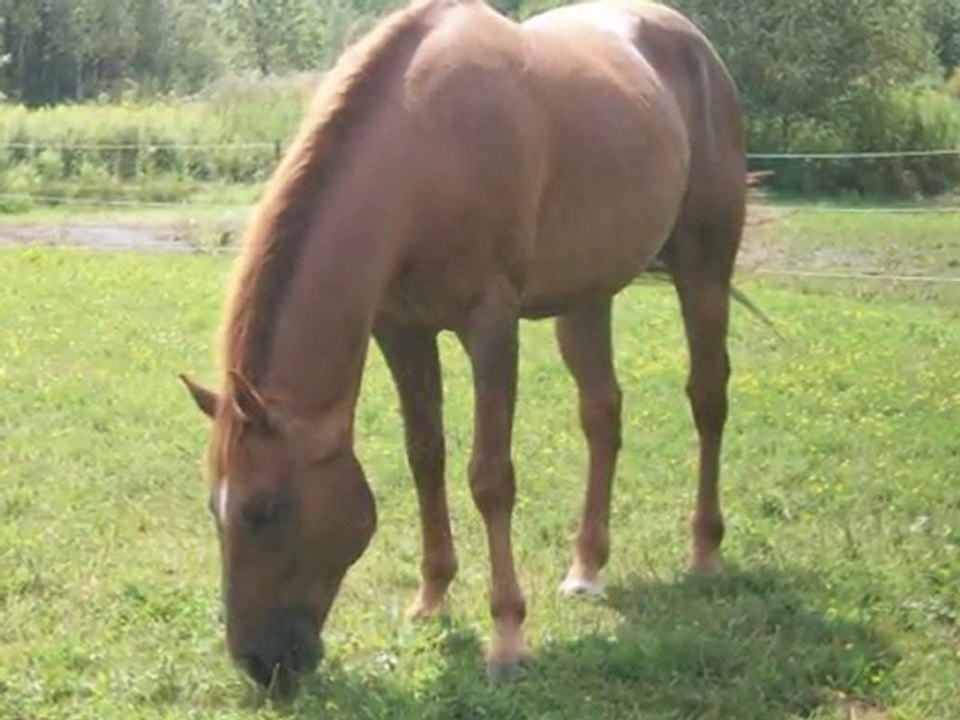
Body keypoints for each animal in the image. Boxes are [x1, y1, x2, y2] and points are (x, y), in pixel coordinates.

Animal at [181, 0, 746, 688]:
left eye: (267, 509)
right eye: (215, 509)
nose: (259, 663)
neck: (424, 144)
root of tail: (695, 45)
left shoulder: (491, 324)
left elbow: (490, 477)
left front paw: (507, 638)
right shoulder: (401, 329)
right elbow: (426, 457)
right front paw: (431, 599)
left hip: (704, 267)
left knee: (708, 398)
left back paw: (704, 552)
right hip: (586, 297)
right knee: (602, 415)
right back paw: (586, 567)